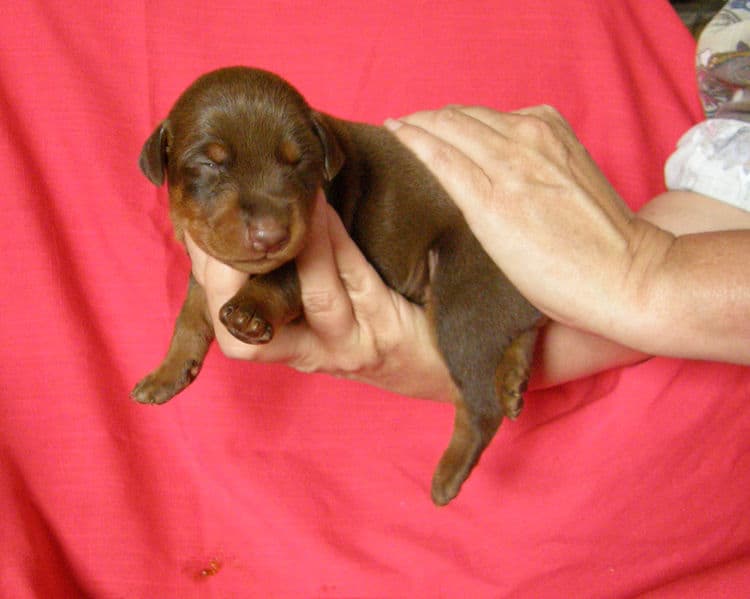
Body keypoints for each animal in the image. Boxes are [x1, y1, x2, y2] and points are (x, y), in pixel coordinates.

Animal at [135, 65, 544, 506]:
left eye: (299, 162)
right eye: (209, 164)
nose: (271, 235)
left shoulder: (317, 235)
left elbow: (281, 275)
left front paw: (250, 308)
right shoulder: (204, 264)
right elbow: (189, 317)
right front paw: (168, 372)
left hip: (461, 301)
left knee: (480, 403)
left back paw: (449, 473)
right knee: (523, 326)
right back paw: (514, 379)